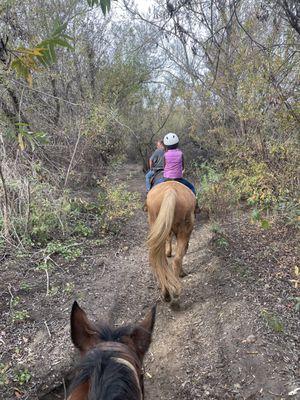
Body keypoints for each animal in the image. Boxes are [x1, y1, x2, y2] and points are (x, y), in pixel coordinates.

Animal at [146, 180, 196, 308]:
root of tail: (170, 191)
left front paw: (168, 252)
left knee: (160, 262)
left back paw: (166, 294)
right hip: (185, 231)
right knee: (177, 259)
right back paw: (176, 294)